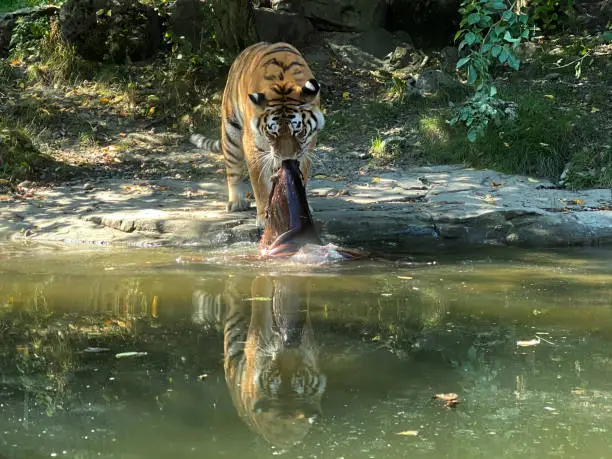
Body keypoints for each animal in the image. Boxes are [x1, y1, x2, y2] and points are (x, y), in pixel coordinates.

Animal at [190, 42, 326, 229]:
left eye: (298, 132)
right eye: (272, 133)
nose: (286, 159)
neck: (284, 81)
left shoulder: (307, 147)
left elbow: (301, 177)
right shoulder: (253, 145)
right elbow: (260, 184)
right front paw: (263, 217)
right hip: (231, 133)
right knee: (233, 169)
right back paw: (236, 201)